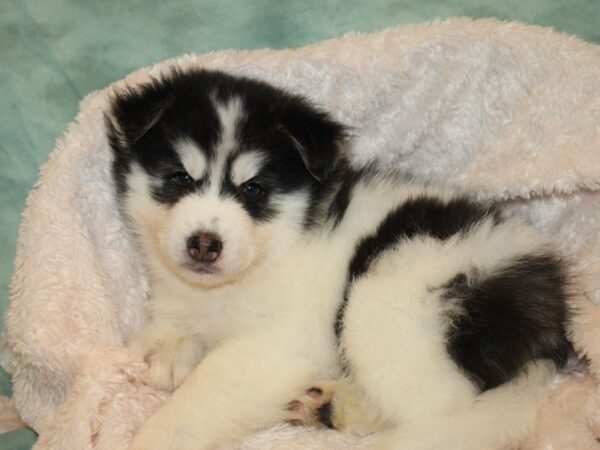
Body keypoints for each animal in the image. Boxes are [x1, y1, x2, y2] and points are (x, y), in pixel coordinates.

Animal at [106, 67, 572, 450]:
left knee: (441, 410)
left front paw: (158, 434)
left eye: (253, 189)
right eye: (180, 178)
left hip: (389, 301)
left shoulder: (281, 342)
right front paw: (167, 347)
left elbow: (210, 386)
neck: (272, 251)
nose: (204, 243)